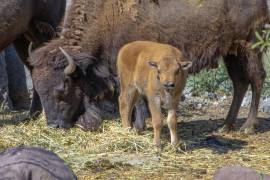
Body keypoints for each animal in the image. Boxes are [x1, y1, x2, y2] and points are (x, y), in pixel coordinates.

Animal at [29, 0, 268, 132]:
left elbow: (137, 97)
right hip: (232, 52)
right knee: (239, 84)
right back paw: (226, 125)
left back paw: (248, 127)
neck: (107, 14)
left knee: (256, 79)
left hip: (250, 46)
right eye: (39, 90)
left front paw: (139, 125)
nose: (54, 126)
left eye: (63, 89)